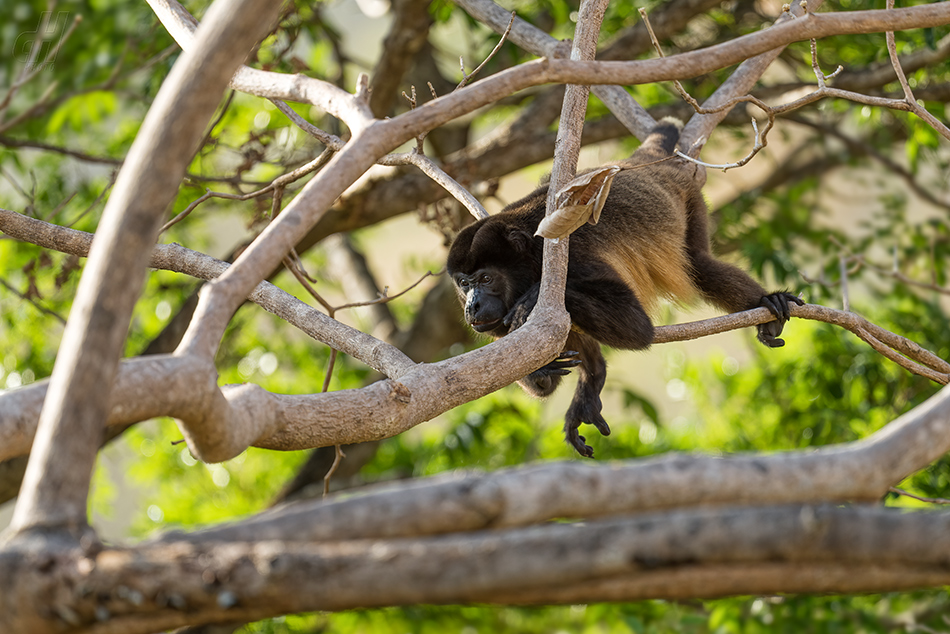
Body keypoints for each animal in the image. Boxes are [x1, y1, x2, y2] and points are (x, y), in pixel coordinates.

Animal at [446, 118, 804, 454]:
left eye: (486, 279)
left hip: (686, 196)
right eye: (464, 283)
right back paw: (594, 377)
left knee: (699, 265)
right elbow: (541, 373)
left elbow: (637, 326)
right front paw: (542, 372)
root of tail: (639, 163)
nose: (472, 306)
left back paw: (768, 303)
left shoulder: (572, 256)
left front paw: (530, 300)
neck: (532, 254)